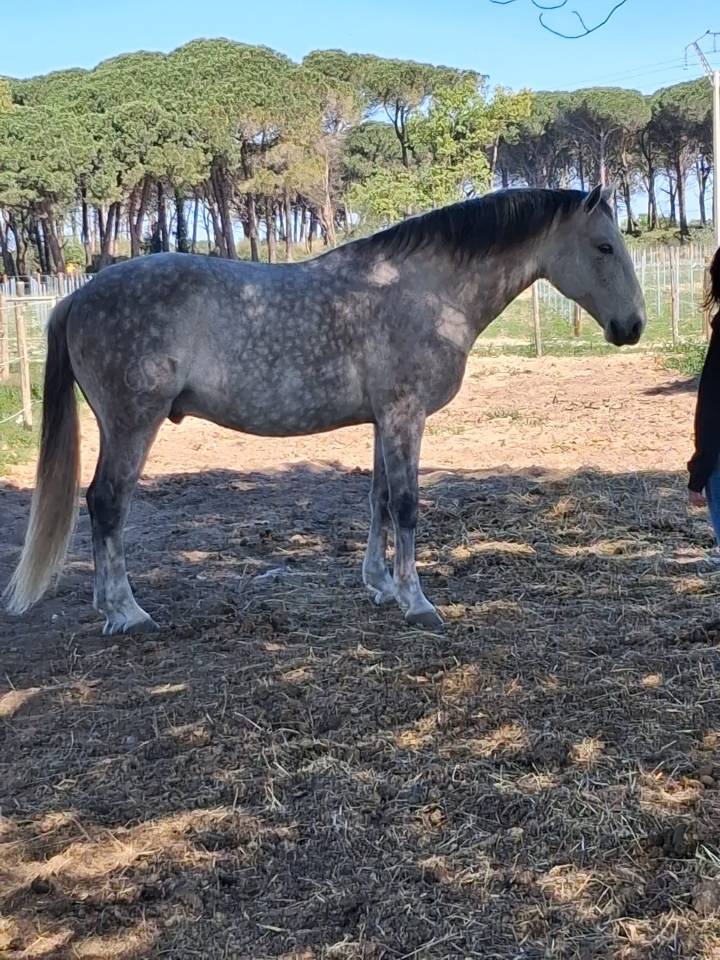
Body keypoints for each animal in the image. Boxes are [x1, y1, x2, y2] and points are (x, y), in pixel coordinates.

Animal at [4, 185, 646, 635]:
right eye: (604, 246)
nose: (633, 327)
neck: (424, 290)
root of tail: (76, 298)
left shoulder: (385, 420)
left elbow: (379, 500)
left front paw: (381, 586)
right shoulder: (406, 415)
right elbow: (407, 506)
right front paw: (418, 603)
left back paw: (106, 605)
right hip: (132, 424)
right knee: (106, 502)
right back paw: (126, 612)